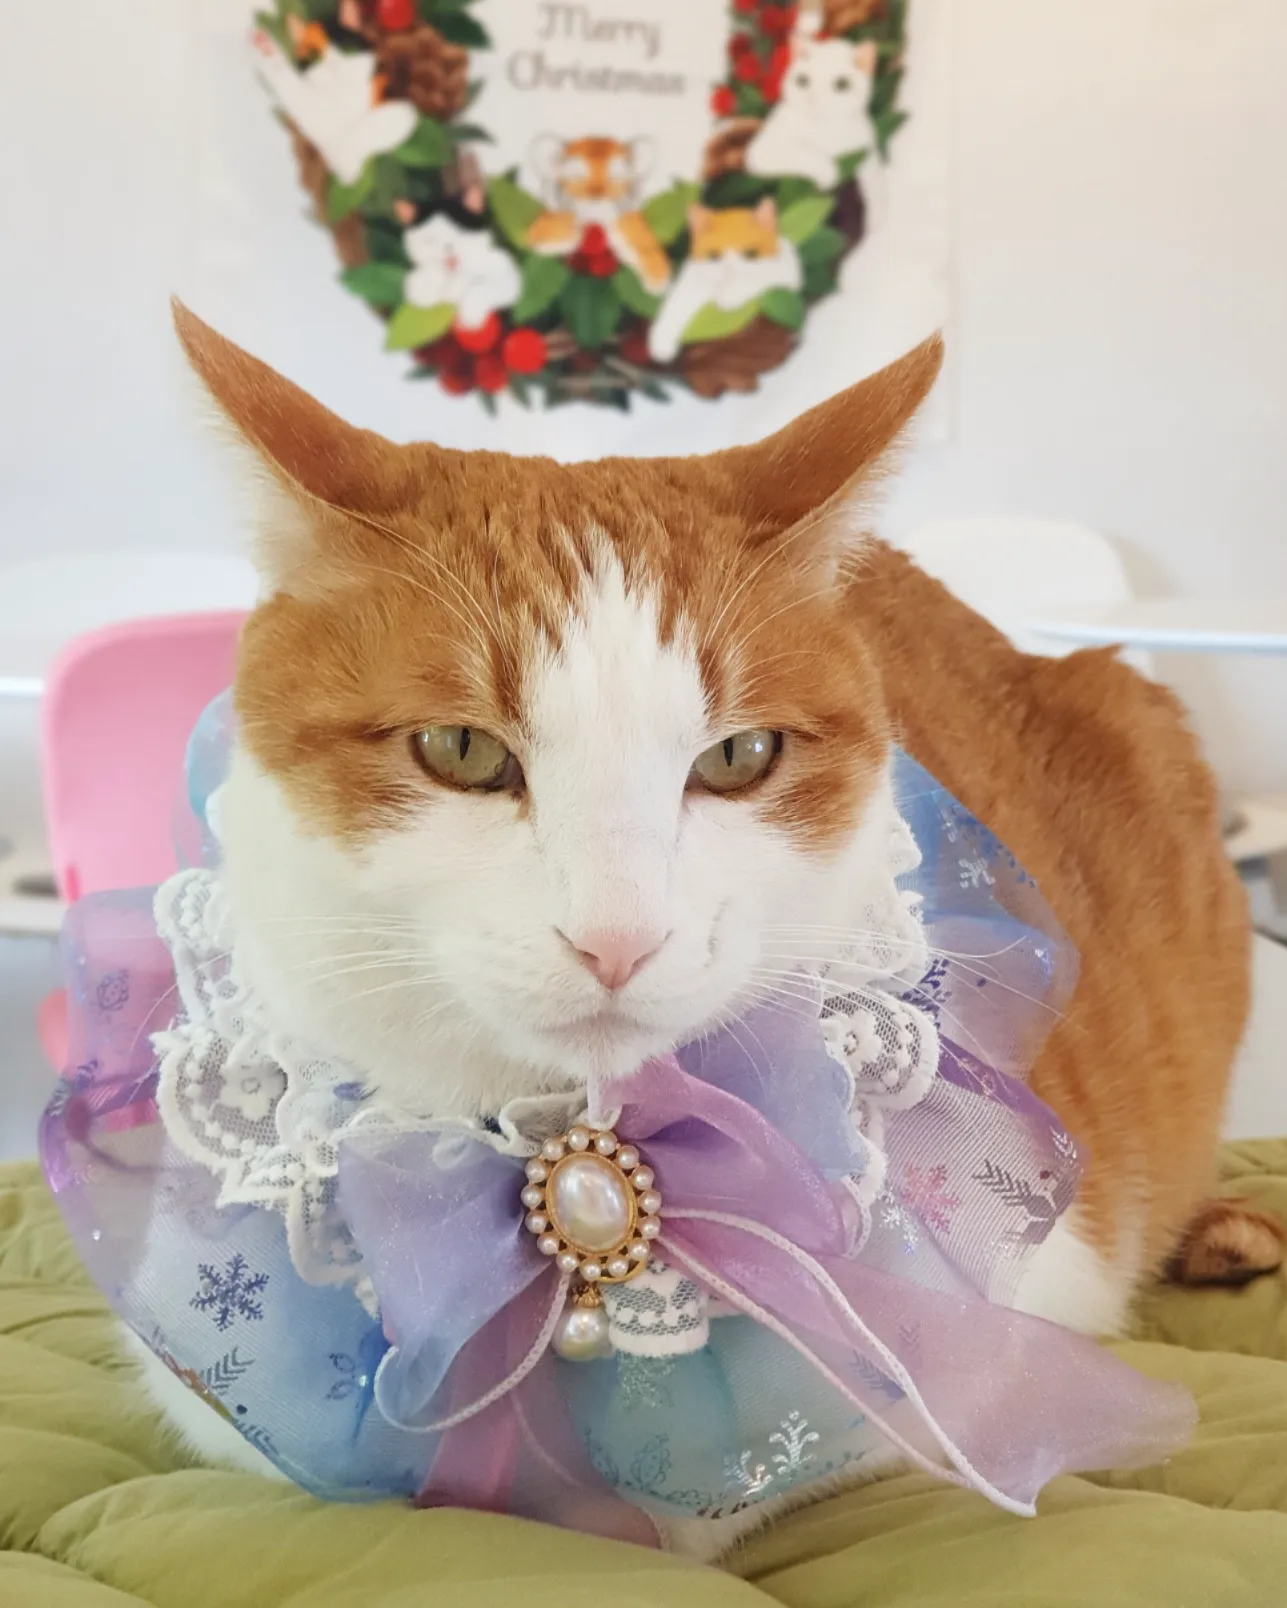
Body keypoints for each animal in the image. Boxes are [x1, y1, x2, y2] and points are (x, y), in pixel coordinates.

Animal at [647, 199, 802, 363]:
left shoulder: (787, 272)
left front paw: (729, 296)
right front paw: (661, 342)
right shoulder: (692, 280)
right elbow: (675, 305)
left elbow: (757, 277)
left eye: (750, 254)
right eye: (714, 256)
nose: (729, 270)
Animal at [746, 32, 878, 191]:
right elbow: (804, 152)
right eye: (803, 81)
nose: (813, 100)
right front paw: (827, 172)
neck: (823, 131)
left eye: (841, 84)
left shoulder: (865, 149)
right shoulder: (762, 150)